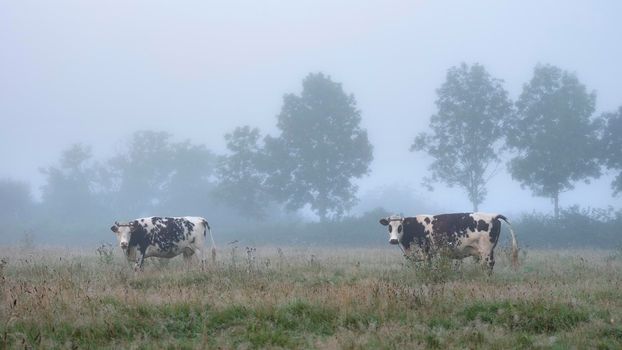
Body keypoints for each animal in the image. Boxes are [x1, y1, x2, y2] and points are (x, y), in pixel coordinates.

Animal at [382, 212, 520, 272]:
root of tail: (492, 215)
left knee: (488, 264)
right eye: (389, 227)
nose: (393, 240)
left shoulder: (426, 252)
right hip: (488, 250)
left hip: (485, 250)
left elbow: (427, 267)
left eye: (400, 227)